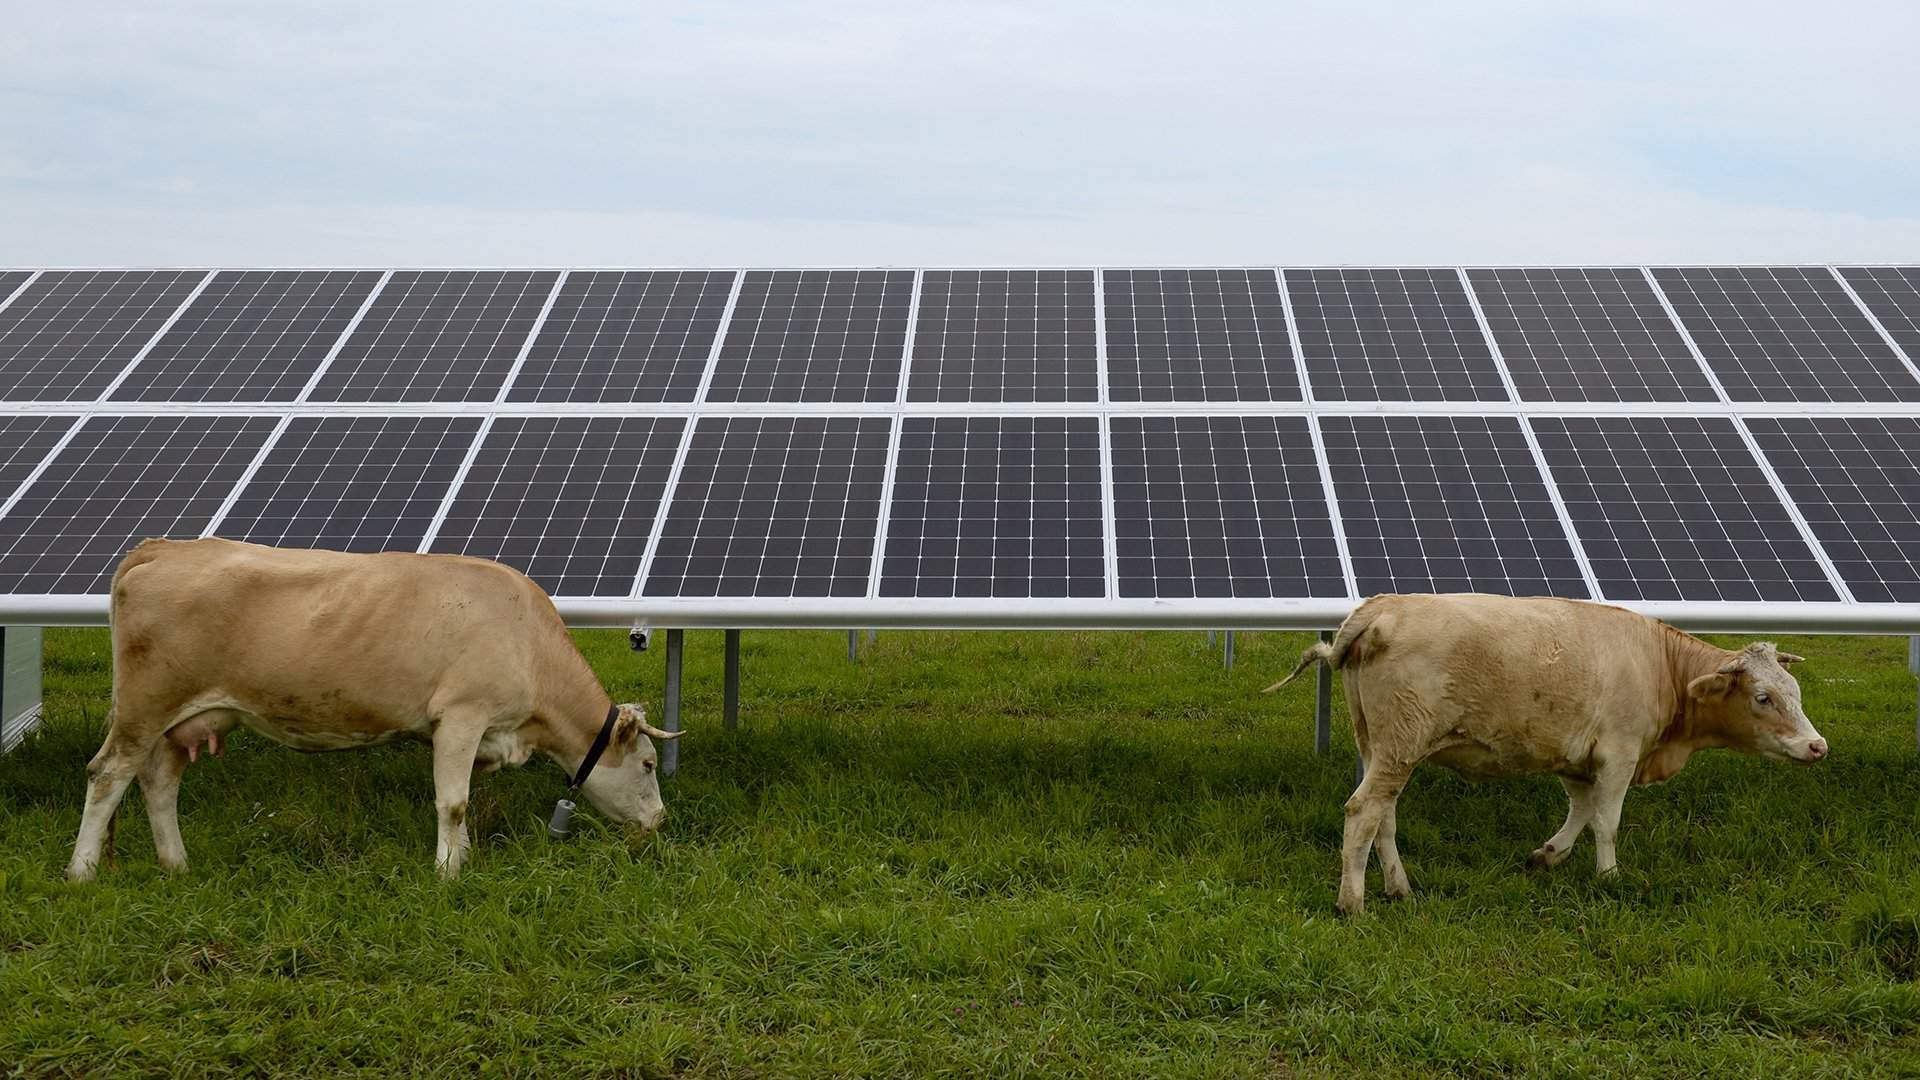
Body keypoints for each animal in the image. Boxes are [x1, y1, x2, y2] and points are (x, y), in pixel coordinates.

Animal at [65, 534, 683, 880]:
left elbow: (460, 803)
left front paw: (461, 859)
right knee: (106, 774)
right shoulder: (461, 715)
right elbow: (452, 803)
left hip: (182, 720)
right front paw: (448, 873)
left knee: (158, 782)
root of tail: (164, 547)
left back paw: (176, 864)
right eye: (649, 764)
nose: (659, 821)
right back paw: (83, 871)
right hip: (146, 706)